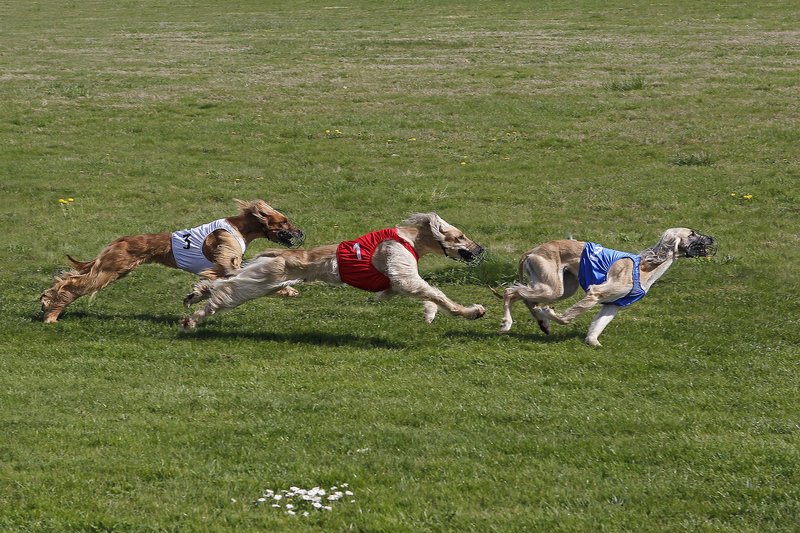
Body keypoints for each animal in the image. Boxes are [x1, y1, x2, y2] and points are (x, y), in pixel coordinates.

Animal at [39, 200, 304, 322]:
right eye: (284, 221)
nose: (301, 232)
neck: (240, 227)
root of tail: (119, 240)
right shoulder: (226, 262)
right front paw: (286, 290)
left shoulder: (221, 267)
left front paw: (195, 296)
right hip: (110, 269)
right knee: (73, 284)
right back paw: (51, 314)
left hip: (113, 268)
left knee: (67, 279)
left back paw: (46, 301)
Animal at [180, 212, 488, 328]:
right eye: (460, 236)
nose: (481, 249)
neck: (410, 238)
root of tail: (277, 252)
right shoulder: (400, 269)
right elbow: (432, 292)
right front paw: (472, 311)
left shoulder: (399, 281)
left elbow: (428, 294)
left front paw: (429, 313)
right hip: (262, 279)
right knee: (225, 292)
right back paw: (192, 319)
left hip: (268, 280)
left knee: (222, 282)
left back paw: (196, 294)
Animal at [496, 228, 716, 344]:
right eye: (692, 234)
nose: (712, 237)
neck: (646, 267)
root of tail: (532, 250)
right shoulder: (596, 292)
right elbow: (565, 318)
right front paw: (548, 314)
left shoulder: (614, 304)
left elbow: (599, 324)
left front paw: (592, 342)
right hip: (553, 287)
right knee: (510, 291)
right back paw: (508, 323)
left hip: (563, 286)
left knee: (525, 296)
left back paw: (542, 324)